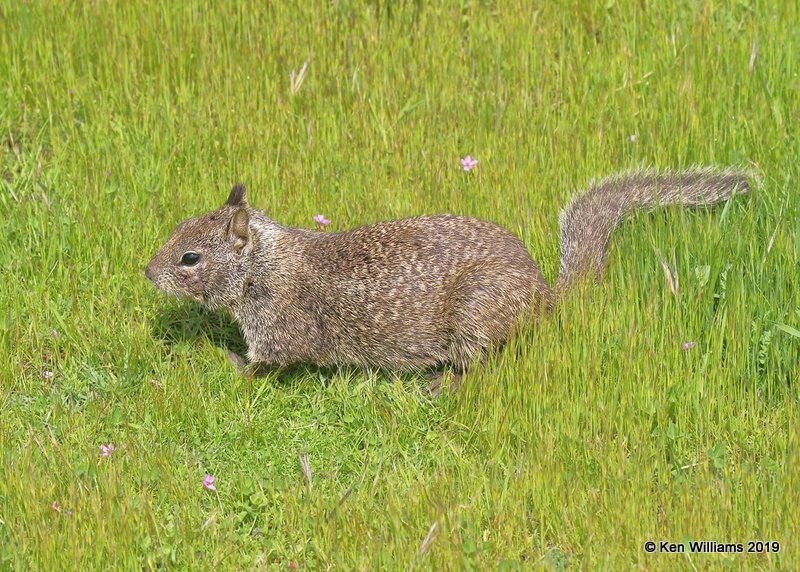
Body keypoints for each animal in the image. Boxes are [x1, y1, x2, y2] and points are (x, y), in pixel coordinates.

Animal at [147, 168, 752, 396]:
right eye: (177, 229)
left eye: (190, 257)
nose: (147, 272)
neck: (265, 263)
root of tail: (543, 293)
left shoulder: (276, 327)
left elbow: (262, 364)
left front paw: (225, 364)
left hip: (473, 316)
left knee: (482, 364)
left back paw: (443, 383)